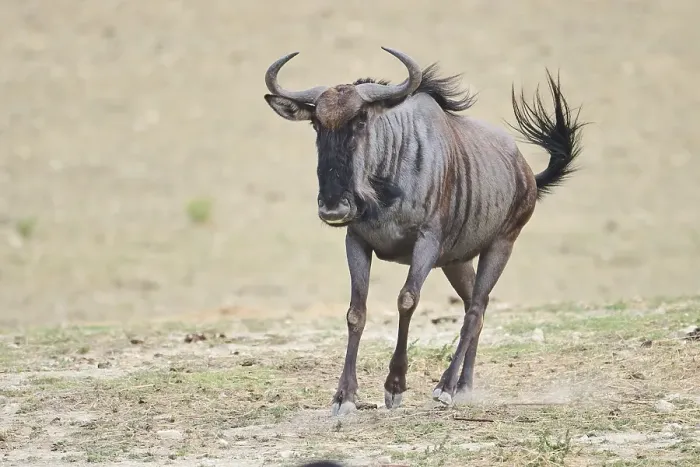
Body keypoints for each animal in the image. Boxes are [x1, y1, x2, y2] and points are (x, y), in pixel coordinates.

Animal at [263, 47, 584, 415]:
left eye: (361, 120)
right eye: (317, 123)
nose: (333, 208)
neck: (383, 189)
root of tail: (527, 173)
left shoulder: (426, 242)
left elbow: (407, 300)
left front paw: (395, 386)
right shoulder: (356, 241)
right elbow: (356, 312)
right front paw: (344, 396)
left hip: (501, 245)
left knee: (475, 310)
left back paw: (445, 387)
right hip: (456, 262)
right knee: (475, 306)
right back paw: (464, 387)